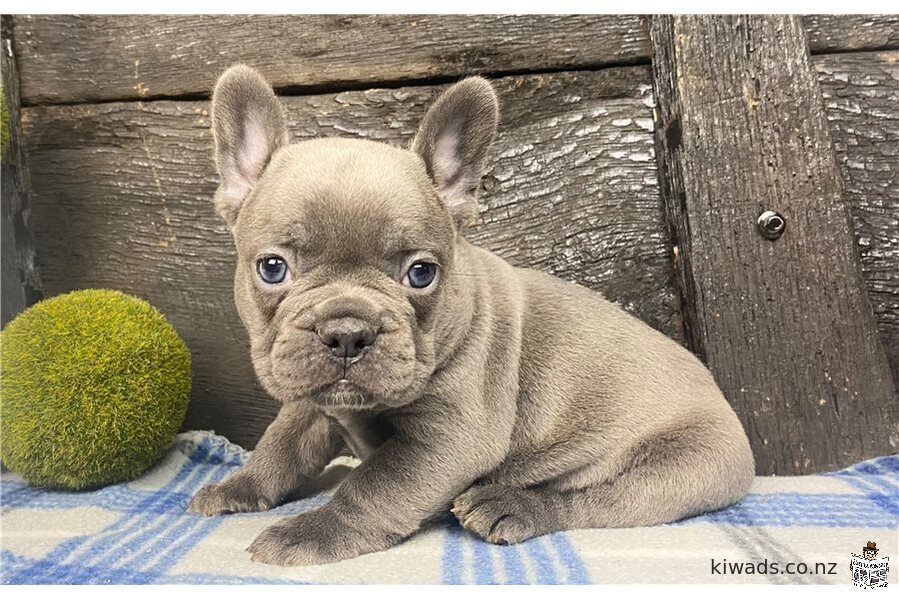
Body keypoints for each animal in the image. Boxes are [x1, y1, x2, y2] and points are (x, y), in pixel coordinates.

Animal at [190, 65, 760, 568]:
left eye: (421, 273)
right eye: (272, 268)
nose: (347, 332)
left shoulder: (449, 438)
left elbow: (372, 486)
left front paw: (312, 532)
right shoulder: (311, 401)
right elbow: (280, 446)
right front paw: (239, 485)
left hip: (681, 467)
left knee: (595, 504)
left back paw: (510, 503)